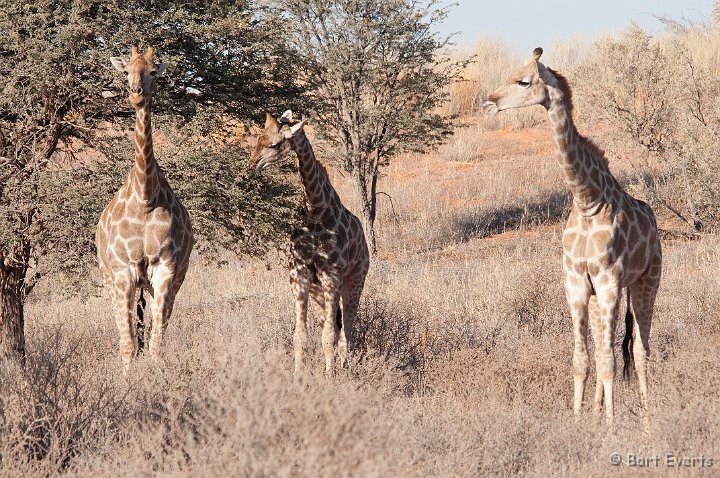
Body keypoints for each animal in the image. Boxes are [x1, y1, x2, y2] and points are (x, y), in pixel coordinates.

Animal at [95, 46, 193, 370]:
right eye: (126, 71)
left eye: (153, 72)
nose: (136, 95)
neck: (145, 198)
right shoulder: (123, 270)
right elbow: (128, 347)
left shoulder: (166, 268)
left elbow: (156, 344)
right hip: (109, 276)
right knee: (127, 332)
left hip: (171, 279)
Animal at [249, 110, 372, 376]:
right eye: (258, 138)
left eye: (275, 144)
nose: (251, 166)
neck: (317, 213)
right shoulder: (299, 275)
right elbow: (300, 335)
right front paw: (298, 375)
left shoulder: (331, 276)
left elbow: (328, 336)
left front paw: (329, 377)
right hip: (319, 291)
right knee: (335, 326)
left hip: (355, 280)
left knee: (346, 331)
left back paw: (343, 369)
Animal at [484, 48, 664, 422]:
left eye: (524, 81)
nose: (489, 102)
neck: (587, 202)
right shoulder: (577, 283)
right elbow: (582, 360)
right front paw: (582, 422)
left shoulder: (609, 281)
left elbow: (610, 362)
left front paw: (610, 427)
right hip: (602, 296)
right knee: (608, 347)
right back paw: (599, 413)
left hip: (647, 280)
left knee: (640, 350)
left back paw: (647, 420)